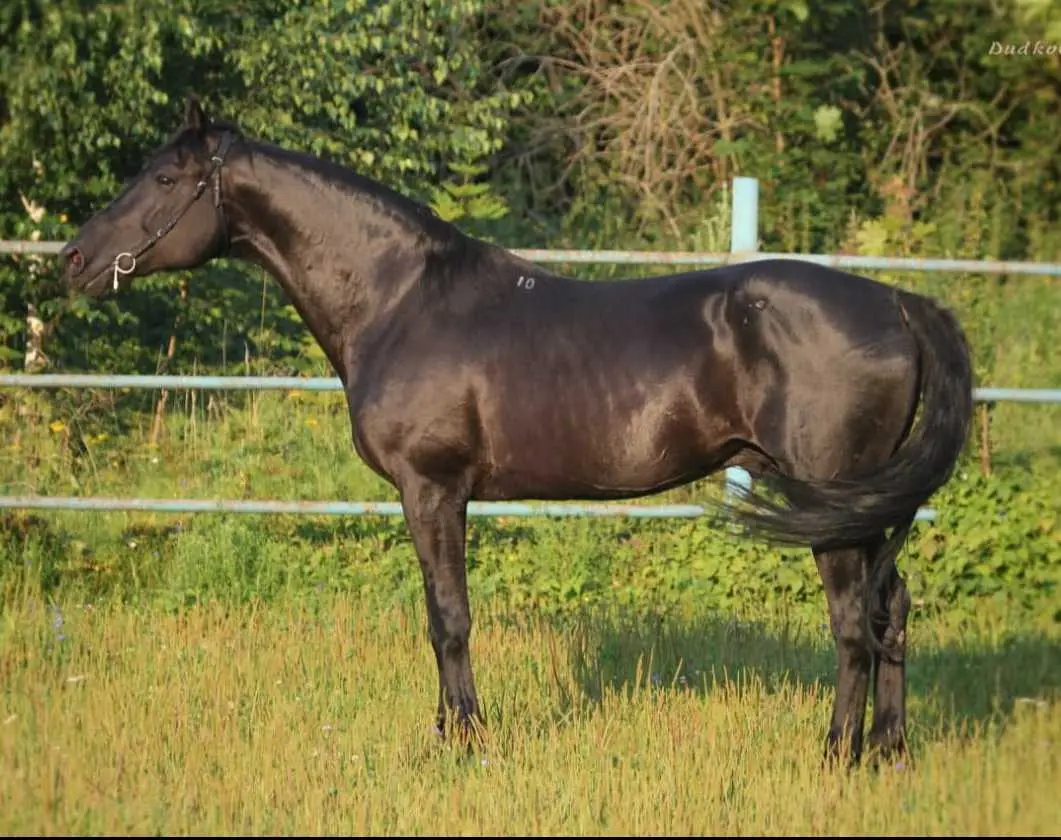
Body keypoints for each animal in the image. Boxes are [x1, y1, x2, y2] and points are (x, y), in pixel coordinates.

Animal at [58, 100, 971, 767]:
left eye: (165, 175)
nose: (72, 260)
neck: (399, 299)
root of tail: (896, 303)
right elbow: (439, 614)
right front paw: (445, 733)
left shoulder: (432, 487)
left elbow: (448, 618)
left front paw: (465, 743)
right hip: (864, 505)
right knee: (891, 608)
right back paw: (889, 751)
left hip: (832, 503)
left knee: (851, 623)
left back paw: (835, 754)